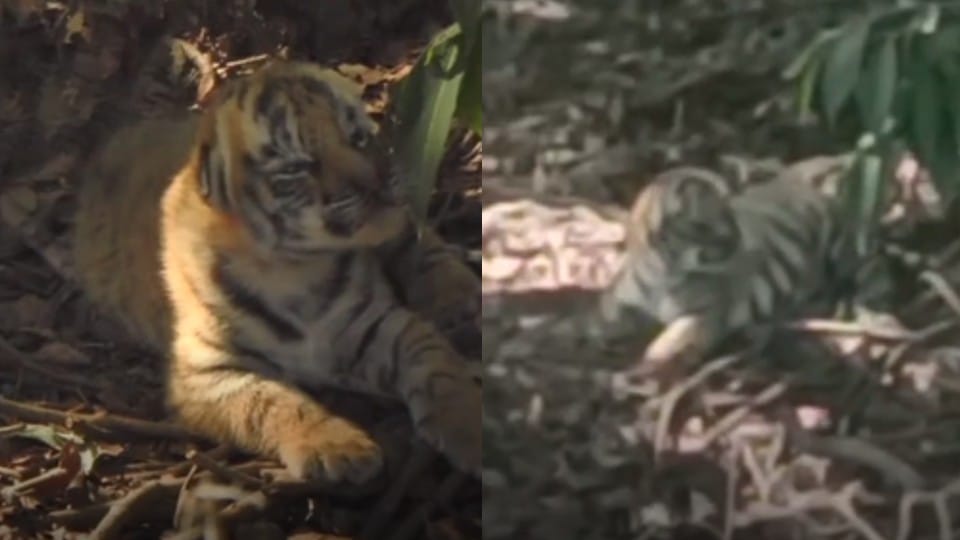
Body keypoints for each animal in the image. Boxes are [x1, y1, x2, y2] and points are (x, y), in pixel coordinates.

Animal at [71, 59, 481, 483]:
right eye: (300, 167)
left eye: (358, 138)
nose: (378, 183)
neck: (293, 269)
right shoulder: (207, 372)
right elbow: (271, 404)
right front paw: (337, 447)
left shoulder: (380, 323)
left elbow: (437, 365)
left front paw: (473, 426)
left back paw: (460, 302)